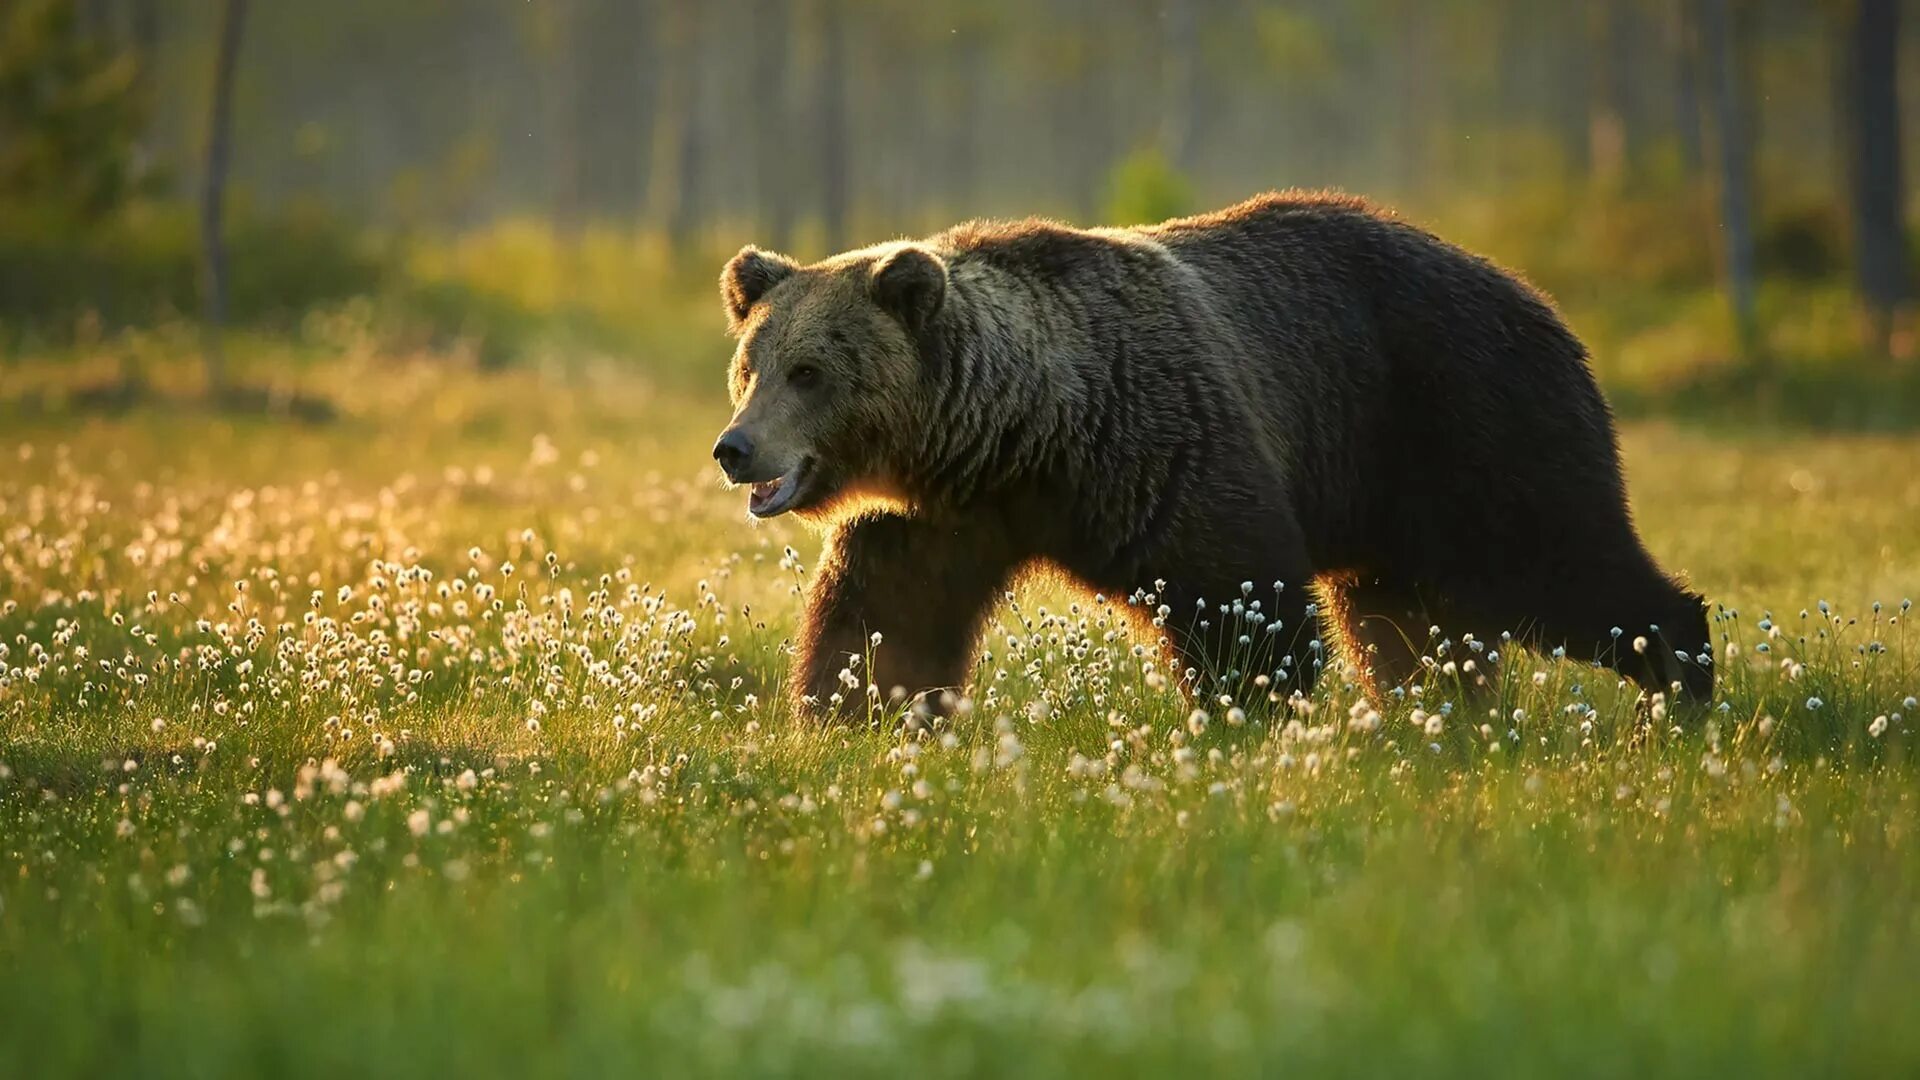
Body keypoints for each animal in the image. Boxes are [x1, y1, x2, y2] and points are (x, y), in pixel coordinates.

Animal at [714, 190, 1720, 718]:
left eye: (809, 371)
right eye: (750, 367)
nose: (736, 448)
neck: (1020, 434)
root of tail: (1542, 301)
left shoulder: (1159, 444)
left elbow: (1237, 595)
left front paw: (1246, 715)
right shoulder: (940, 516)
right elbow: (886, 616)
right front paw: (853, 712)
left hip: (1468, 420)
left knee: (1560, 562)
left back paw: (1677, 688)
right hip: (1394, 502)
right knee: (1404, 624)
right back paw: (1436, 718)